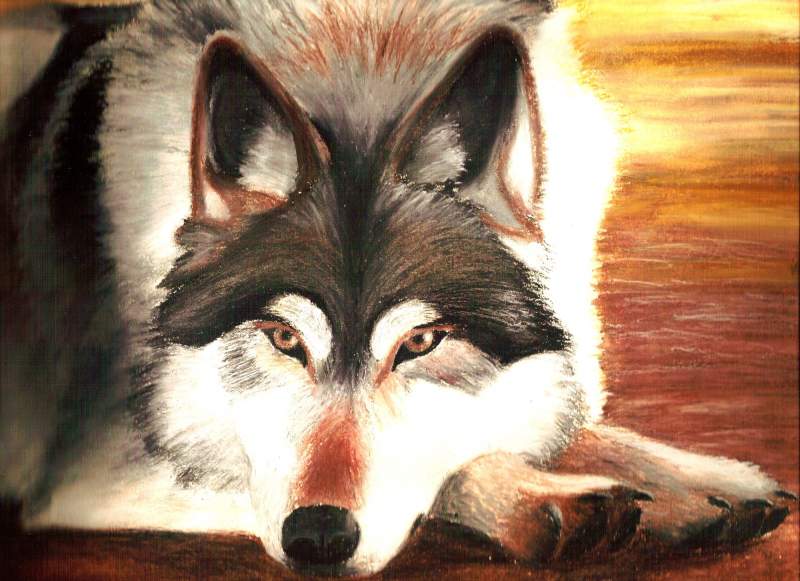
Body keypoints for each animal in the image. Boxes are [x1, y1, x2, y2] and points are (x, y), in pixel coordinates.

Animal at [0, 0, 795, 576]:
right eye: (282, 338)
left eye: (422, 342)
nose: (317, 538)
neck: (361, 54)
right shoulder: (86, 470)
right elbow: (458, 464)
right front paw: (543, 496)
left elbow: (566, 424)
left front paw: (703, 479)